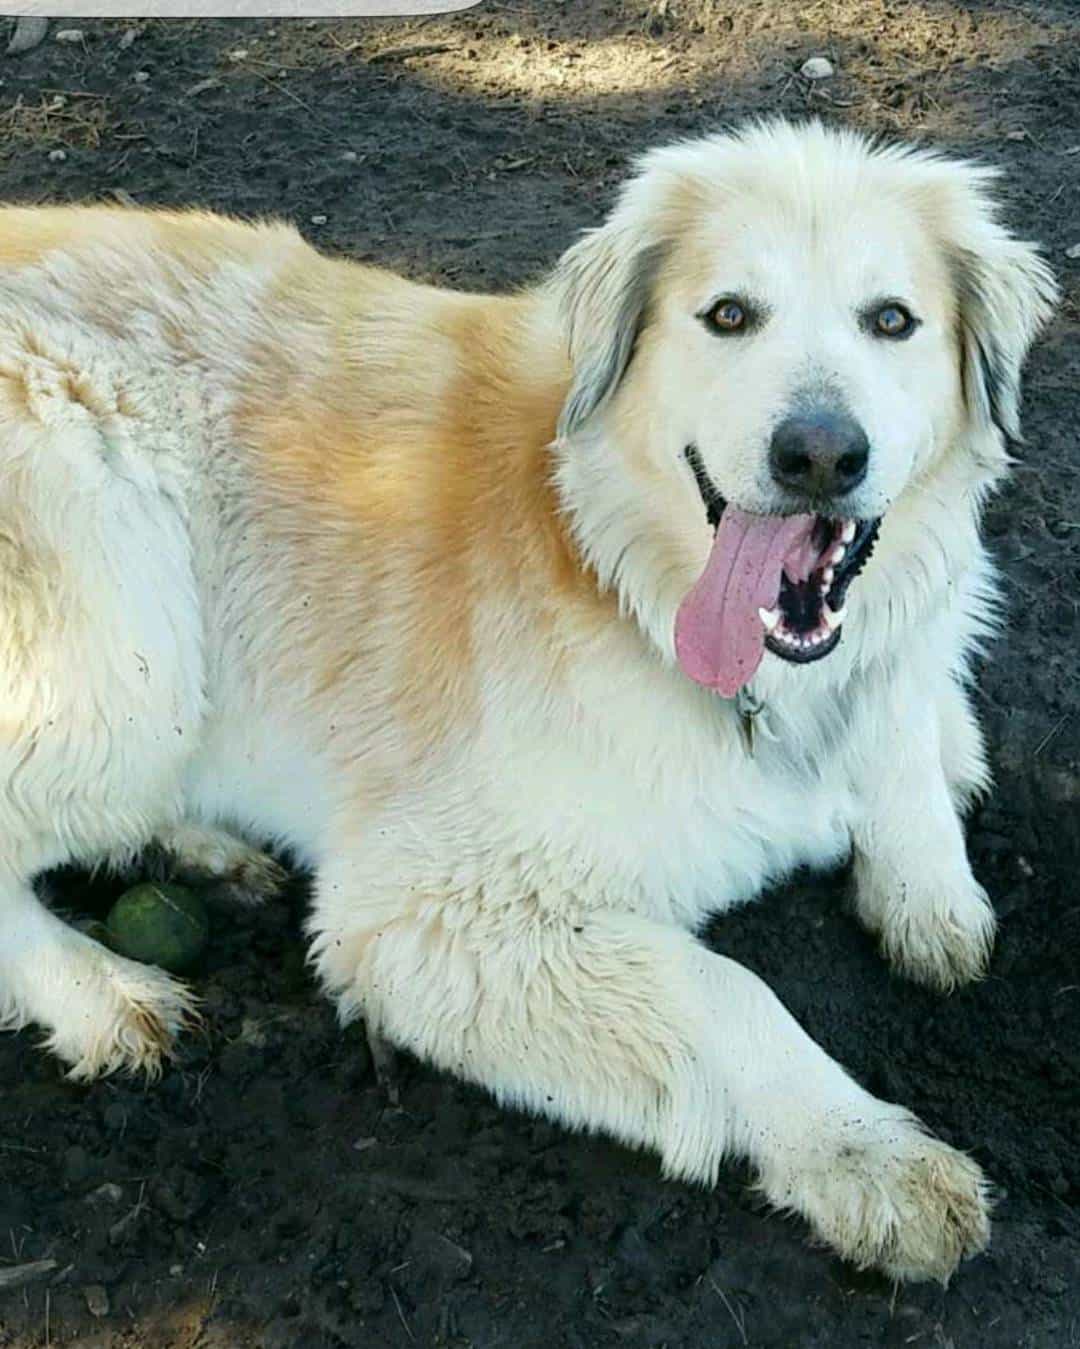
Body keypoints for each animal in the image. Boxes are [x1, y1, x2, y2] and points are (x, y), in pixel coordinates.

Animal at [0, 118, 1051, 1284]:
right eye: (730, 314)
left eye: (892, 320)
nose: (819, 453)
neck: (621, 564)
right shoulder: (424, 912)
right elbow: (727, 991)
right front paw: (866, 1153)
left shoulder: (899, 657)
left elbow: (914, 733)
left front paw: (928, 881)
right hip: (125, 649)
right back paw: (93, 989)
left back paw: (201, 847)